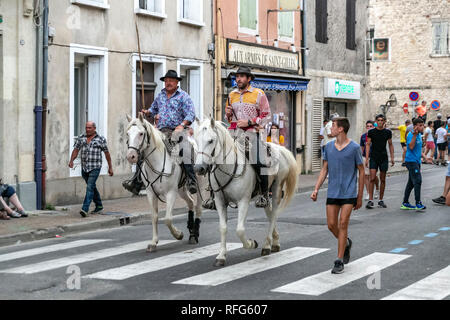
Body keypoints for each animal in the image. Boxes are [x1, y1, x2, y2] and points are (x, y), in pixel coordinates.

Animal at [126, 114, 204, 251]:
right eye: (127, 133)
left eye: (141, 133)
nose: (131, 156)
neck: (157, 162)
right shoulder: (150, 193)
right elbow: (154, 216)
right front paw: (153, 242)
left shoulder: (171, 193)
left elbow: (167, 219)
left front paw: (178, 234)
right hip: (181, 189)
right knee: (190, 202)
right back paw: (191, 231)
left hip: (197, 186)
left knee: (198, 207)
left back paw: (195, 234)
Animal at [193, 119, 298, 266]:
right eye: (196, 140)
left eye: (211, 140)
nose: (199, 168)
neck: (229, 168)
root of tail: (280, 149)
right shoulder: (220, 201)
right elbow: (223, 227)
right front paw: (221, 256)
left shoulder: (243, 201)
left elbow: (240, 230)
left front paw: (251, 243)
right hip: (265, 195)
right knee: (270, 213)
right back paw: (274, 242)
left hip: (277, 189)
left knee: (273, 215)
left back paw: (266, 246)